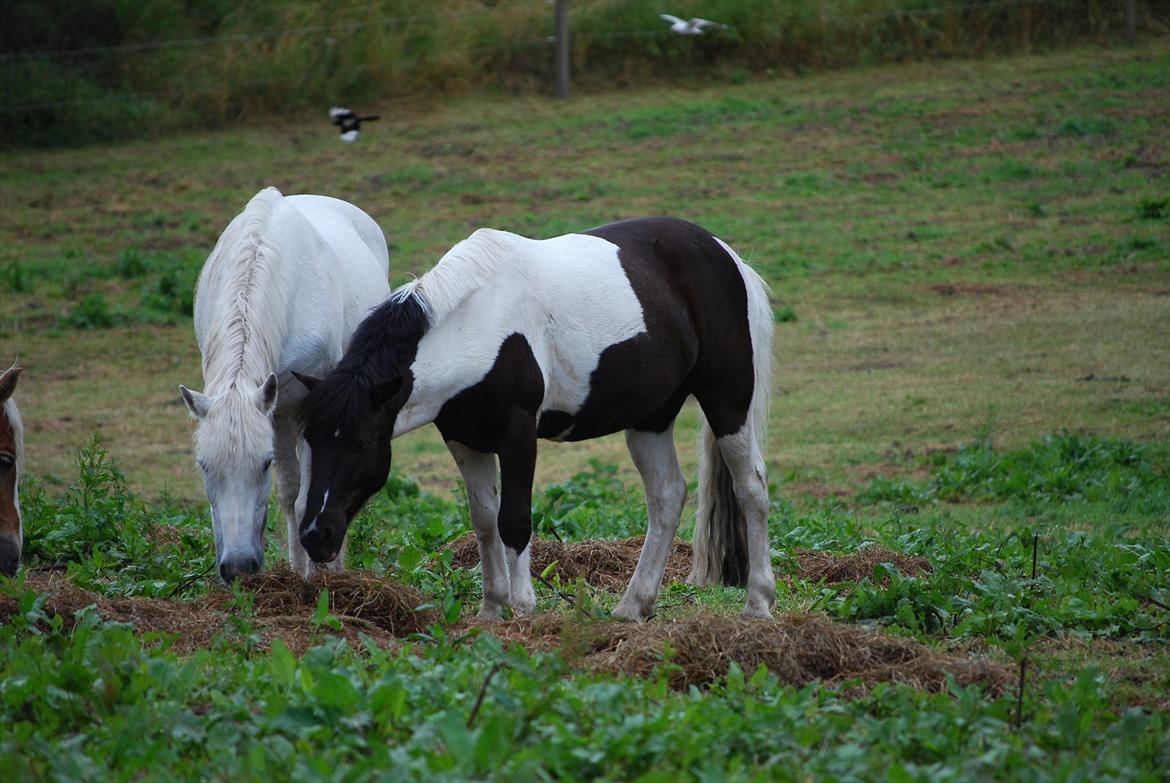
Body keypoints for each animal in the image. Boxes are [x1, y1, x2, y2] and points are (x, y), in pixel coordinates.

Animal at [177, 187, 388, 580]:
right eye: (204, 465)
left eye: (263, 464)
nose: (238, 567)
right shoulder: (274, 412)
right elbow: (289, 494)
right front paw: (295, 571)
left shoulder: (310, 409)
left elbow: (309, 498)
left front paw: (318, 576)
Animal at [297, 216, 776, 617]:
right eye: (311, 439)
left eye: (362, 443)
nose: (315, 536)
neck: (480, 323)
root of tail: (724, 254)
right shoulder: (464, 439)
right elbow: (484, 521)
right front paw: (492, 611)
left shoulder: (518, 434)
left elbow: (514, 520)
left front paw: (524, 608)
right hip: (651, 418)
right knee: (667, 495)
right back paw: (632, 608)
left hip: (727, 399)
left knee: (750, 486)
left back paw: (758, 604)